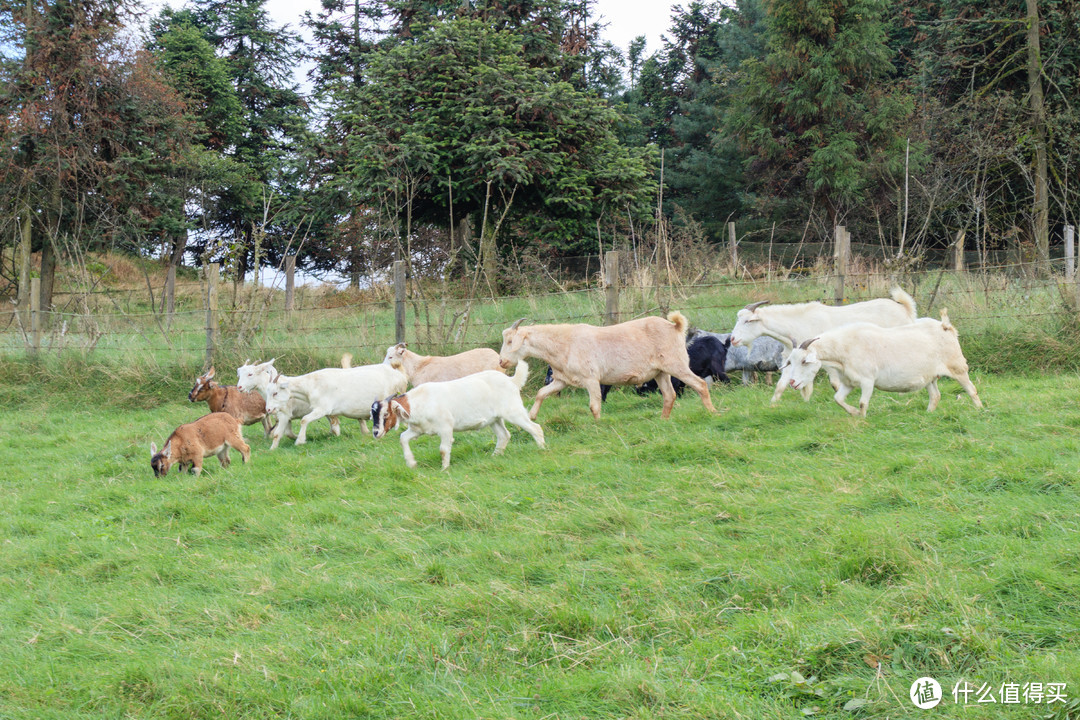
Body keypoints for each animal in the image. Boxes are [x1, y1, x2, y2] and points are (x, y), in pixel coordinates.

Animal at [373, 362, 544, 470]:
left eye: (386, 413)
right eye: (372, 415)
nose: (376, 432)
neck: (420, 401)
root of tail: (511, 380)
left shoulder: (446, 427)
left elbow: (443, 449)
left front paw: (444, 469)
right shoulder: (418, 430)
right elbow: (403, 438)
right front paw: (412, 463)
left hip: (514, 411)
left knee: (535, 428)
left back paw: (542, 450)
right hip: (494, 419)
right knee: (504, 435)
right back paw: (495, 456)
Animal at [496, 310, 717, 423]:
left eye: (510, 341)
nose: (501, 362)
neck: (564, 343)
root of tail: (675, 326)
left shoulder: (591, 378)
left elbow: (594, 405)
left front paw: (598, 425)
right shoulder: (562, 380)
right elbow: (541, 393)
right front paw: (532, 416)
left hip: (676, 363)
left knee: (700, 384)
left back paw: (712, 413)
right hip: (660, 372)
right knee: (669, 395)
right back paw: (663, 420)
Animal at [730, 287, 915, 403]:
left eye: (748, 321)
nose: (732, 339)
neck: (797, 324)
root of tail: (904, 309)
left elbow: (835, 383)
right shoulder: (791, 359)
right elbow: (780, 385)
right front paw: (773, 404)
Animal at [781, 310, 984, 416]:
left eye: (805, 361)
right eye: (791, 361)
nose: (792, 382)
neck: (845, 349)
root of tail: (945, 326)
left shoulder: (867, 380)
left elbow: (863, 402)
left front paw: (861, 418)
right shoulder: (848, 382)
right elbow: (838, 399)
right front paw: (853, 413)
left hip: (957, 367)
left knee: (971, 389)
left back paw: (980, 409)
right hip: (930, 376)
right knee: (935, 395)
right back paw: (928, 413)